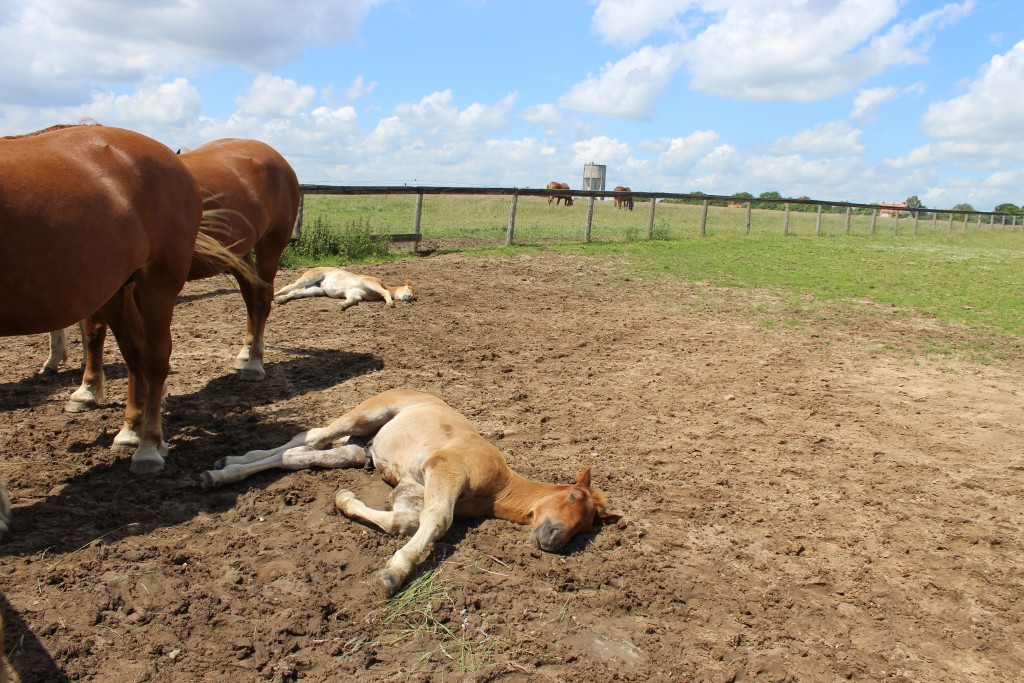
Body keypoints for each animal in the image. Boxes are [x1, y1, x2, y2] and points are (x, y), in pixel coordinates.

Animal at [47, 139, 299, 405]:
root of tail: (278, 159)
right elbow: (94, 331)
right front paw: (88, 389)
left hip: (270, 246)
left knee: (261, 300)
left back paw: (254, 364)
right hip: (238, 254)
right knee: (250, 297)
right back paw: (245, 353)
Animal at [196, 389, 618, 598]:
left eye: (586, 527)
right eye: (574, 498)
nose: (554, 539)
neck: (498, 485)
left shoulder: (413, 487)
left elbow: (403, 521)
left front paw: (344, 500)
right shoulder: (445, 470)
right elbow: (438, 521)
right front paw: (393, 574)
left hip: (358, 446)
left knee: (305, 454)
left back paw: (228, 463)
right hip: (365, 415)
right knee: (307, 437)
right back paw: (221, 472)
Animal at [276, 266, 415, 313]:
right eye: (409, 288)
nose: (410, 297)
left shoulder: (355, 294)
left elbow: (351, 300)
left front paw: (342, 305)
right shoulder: (370, 283)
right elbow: (385, 292)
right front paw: (390, 303)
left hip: (315, 290)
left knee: (295, 293)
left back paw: (280, 300)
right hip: (306, 279)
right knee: (288, 287)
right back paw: (275, 296)